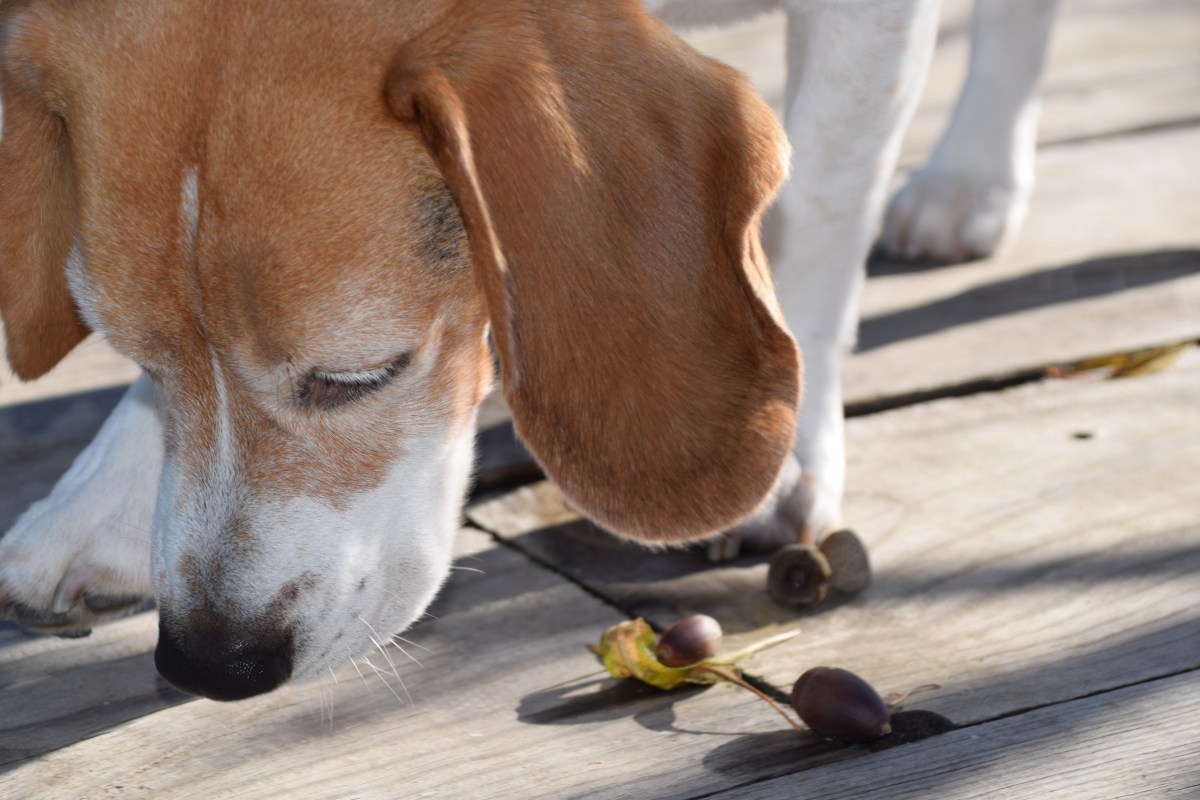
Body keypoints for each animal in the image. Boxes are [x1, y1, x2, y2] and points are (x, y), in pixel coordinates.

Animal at [0, 0, 1060, 700]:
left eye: (357, 376)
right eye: (133, 353)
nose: (211, 665)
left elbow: (822, 203)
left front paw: (787, 463)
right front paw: (98, 505)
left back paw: (970, 173)